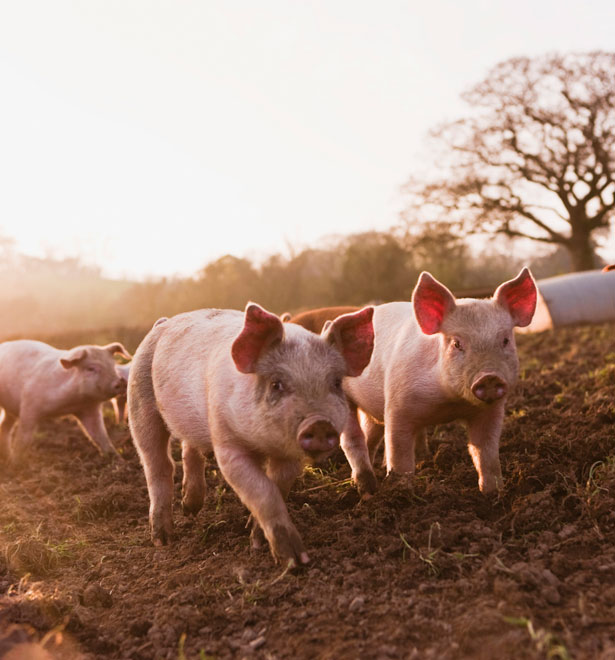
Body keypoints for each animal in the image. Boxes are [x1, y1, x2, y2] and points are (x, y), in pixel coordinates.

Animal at [0, 340, 131, 462]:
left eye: (113, 366)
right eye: (91, 368)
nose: (120, 382)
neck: (70, 403)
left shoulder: (89, 409)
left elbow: (101, 437)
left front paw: (120, 460)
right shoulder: (29, 405)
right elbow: (23, 438)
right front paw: (17, 464)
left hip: (10, 411)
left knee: (4, 427)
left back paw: (7, 456)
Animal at [128, 302, 374, 564]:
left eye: (336, 383)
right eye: (276, 384)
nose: (319, 423)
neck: (263, 444)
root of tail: (163, 323)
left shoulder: (289, 455)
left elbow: (278, 487)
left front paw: (256, 539)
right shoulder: (227, 444)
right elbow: (263, 491)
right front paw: (294, 561)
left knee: (189, 449)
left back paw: (191, 509)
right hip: (139, 402)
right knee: (158, 465)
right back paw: (162, 540)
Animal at [341, 268, 537, 496]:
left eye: (505, 340)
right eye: (457, 343)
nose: (489, 377)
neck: (449, 403)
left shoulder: (491, 411)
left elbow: (486, 453)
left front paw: (493, 493)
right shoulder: (397, 406)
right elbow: (399, 455)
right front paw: (402, 492)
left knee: (370, 436)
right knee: (353, 440)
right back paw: (365, 486)